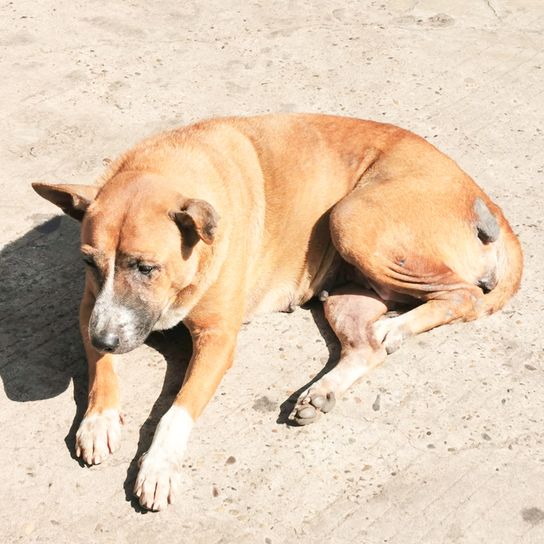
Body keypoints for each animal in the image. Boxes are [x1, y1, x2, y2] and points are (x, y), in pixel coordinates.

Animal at [30, 113, 524, 510]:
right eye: (89, 263)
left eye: (146, 267)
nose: (105, 339)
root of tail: (485, 198)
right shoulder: (92, 306)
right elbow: (102, 367)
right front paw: (98, 419)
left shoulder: (217, 339)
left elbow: (176, 411)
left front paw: (158, 467)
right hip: (346, 291)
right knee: (365, 348)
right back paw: (323, 390)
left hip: (353, 218)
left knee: (464, 295)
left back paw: (398, 328)